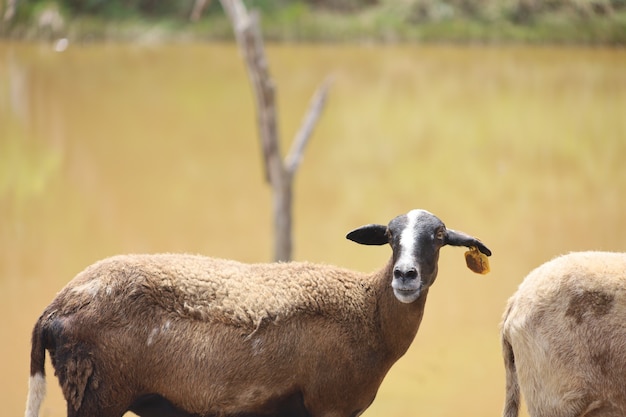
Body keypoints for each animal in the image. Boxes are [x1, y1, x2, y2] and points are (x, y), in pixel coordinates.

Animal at [25, 208, 488, 416]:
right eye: (390, 236)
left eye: (440, 236)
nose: (405, 275)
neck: (367, 311)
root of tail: (56, 306)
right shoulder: (329, 405)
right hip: (96, 393)